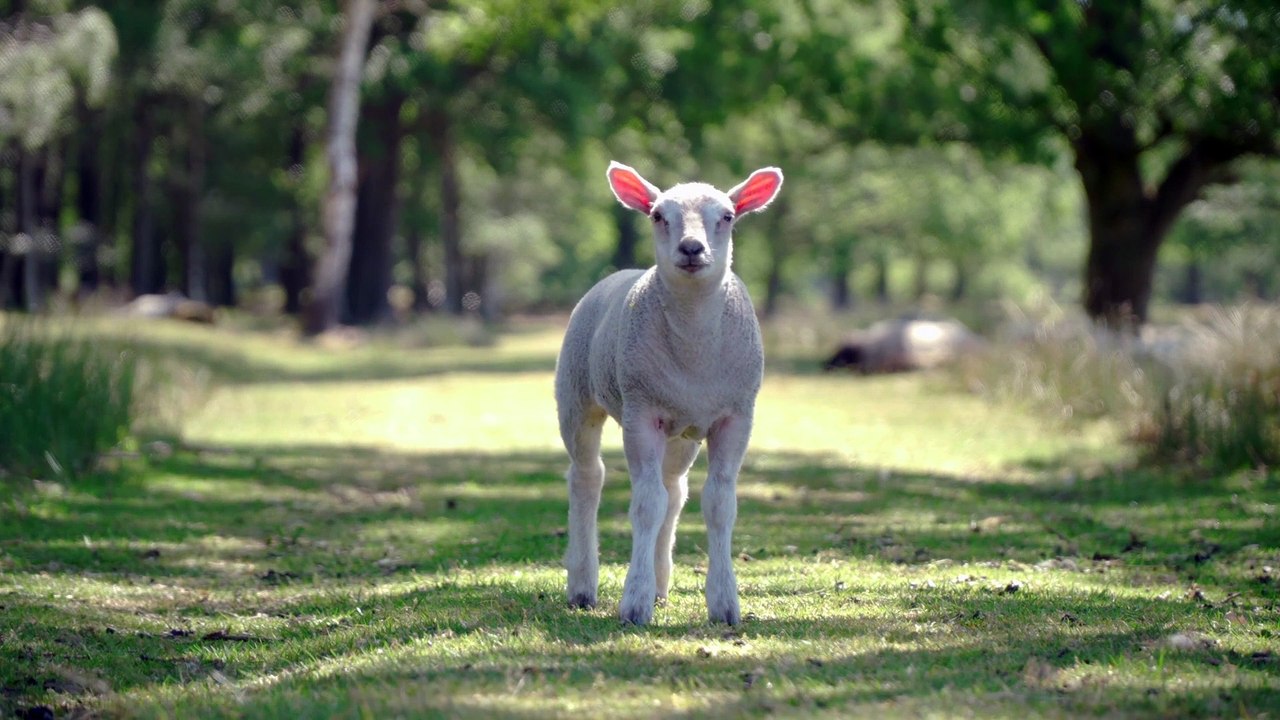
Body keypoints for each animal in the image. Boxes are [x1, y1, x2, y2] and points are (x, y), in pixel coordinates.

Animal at [555, 161, 783, 625]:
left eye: (728, 215)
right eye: (658, 215)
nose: (692, 247)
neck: (694, 351)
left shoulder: (736, 415)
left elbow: (719, 503)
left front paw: (724, 603)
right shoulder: (642, 412)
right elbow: (646, 504)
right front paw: (634, 602)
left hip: (683, 429)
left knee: (674, 490)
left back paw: (661, 583)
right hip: (576, 394)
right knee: (587, 477)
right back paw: (583, 586)